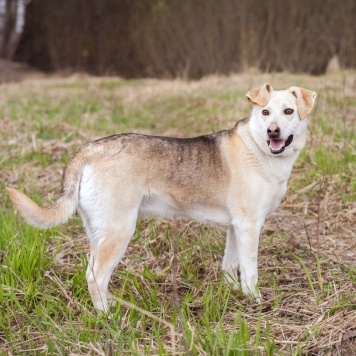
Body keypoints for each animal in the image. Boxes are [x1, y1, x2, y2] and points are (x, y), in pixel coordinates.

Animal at [6, 83, 316, 312]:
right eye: (265, 112)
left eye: (288, 111)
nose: (273, 131)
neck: (258, 147)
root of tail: (88, 150)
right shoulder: (249, 226)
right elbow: (250, 271)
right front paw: (255, 301)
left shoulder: (235, 227)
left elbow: (230, 265)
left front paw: (231, 295)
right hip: (119, 231)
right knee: (95, 277)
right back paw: (109, 318)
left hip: (99, 232)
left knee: (93, 272)